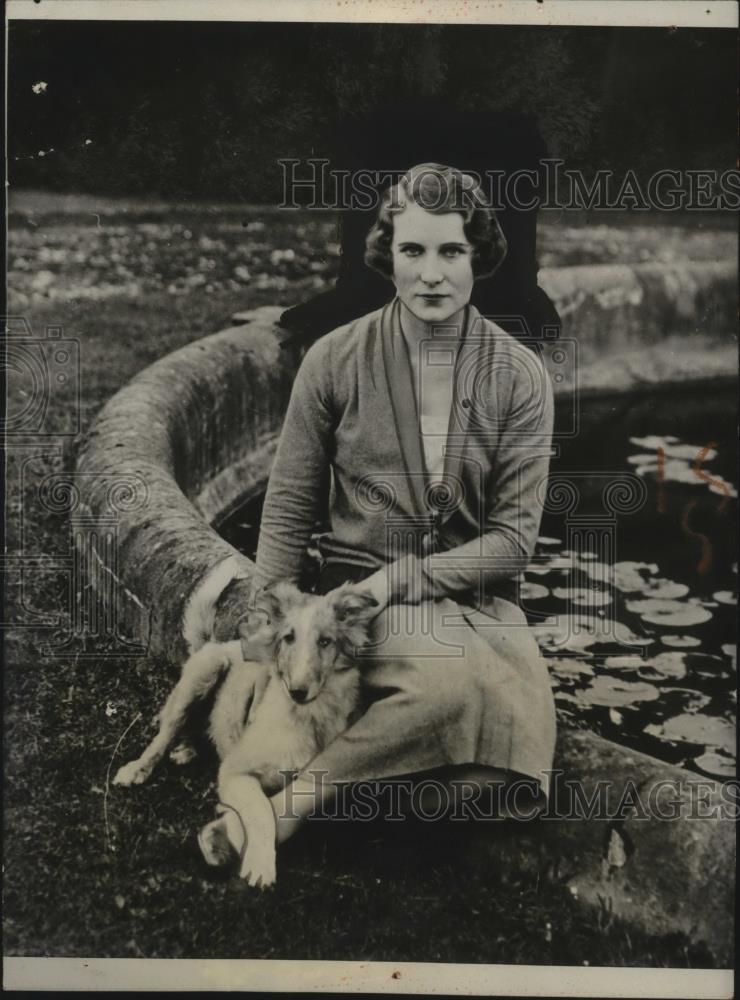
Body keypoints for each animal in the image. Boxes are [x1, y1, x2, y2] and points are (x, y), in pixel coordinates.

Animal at [112, 584, 378, 888]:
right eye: (288, 638)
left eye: (325, 641)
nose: (297, 691)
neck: (307, 717)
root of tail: (217, 643)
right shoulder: (234, 769)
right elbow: (262, 810)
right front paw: (259, 863)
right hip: (203, 676)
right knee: (164, 735)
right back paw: (138, 768)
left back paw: (188, 749)